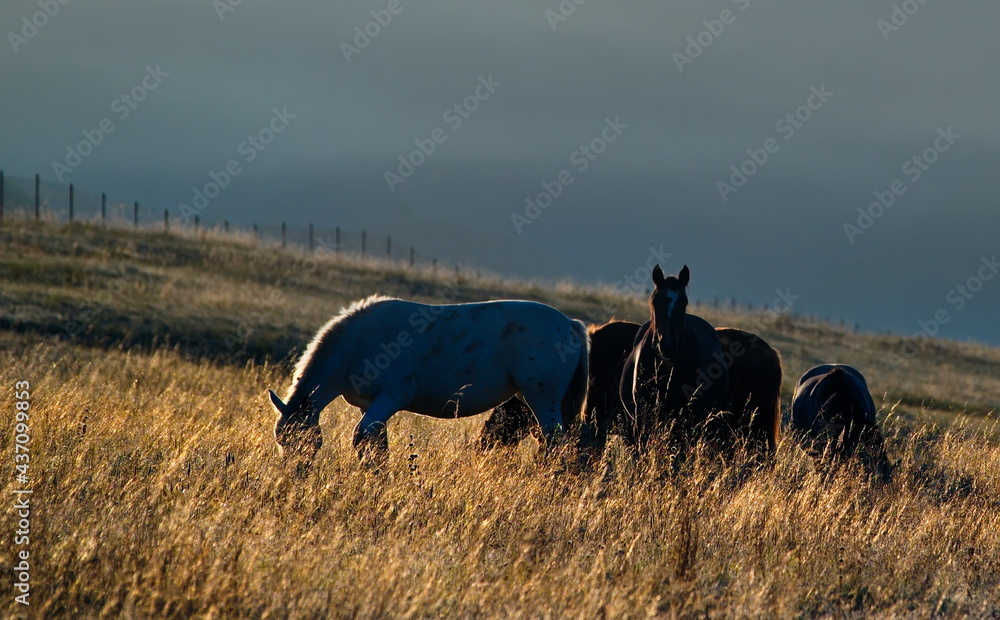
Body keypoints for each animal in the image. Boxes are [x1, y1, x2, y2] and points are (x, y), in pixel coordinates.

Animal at [267, 295, 590, 464]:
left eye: (306, 441)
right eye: (281, 440)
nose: (296, 472)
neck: (358, 341)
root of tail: (570, 325)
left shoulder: (392, 397)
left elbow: (362, 437)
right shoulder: (369, 405)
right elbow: (377, 443)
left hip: (542, 399)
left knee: (554, 443)